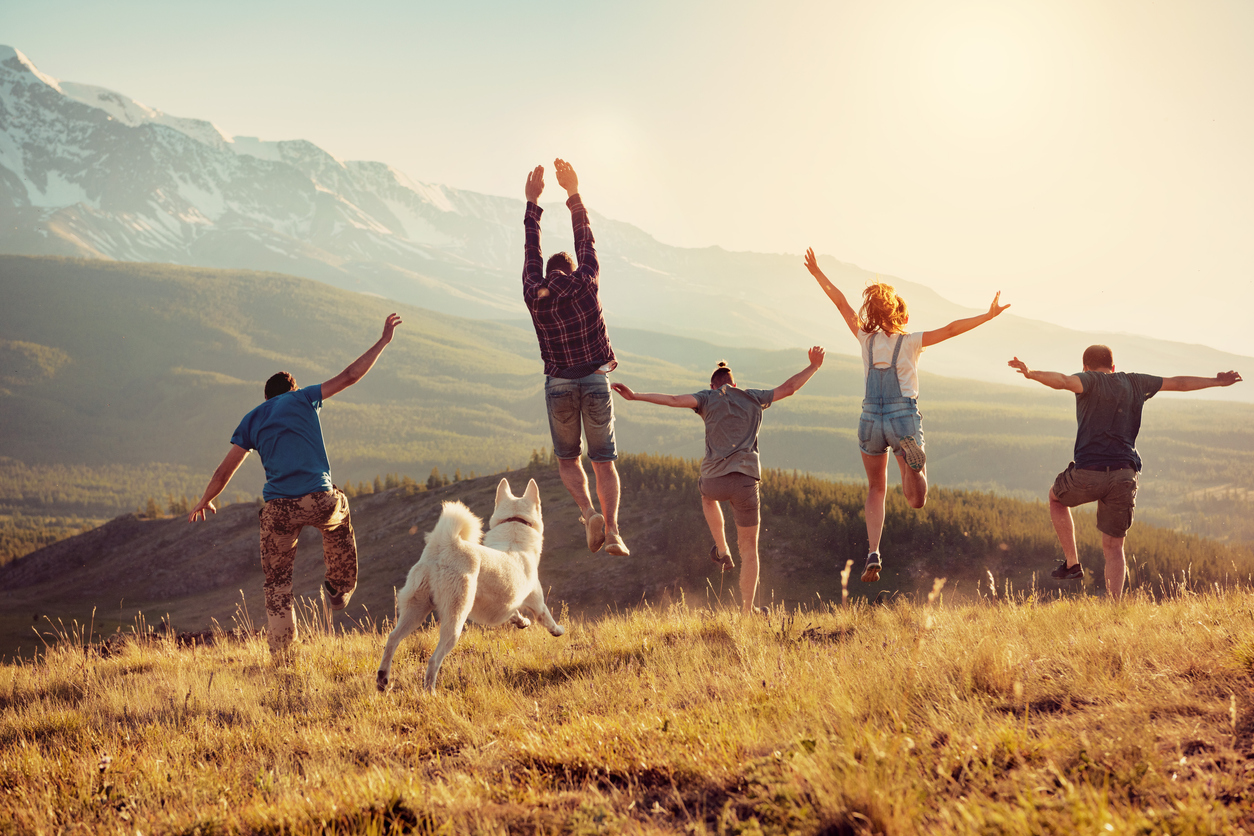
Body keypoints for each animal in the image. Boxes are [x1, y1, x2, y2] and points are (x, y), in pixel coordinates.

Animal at [373, 476, 566, 691]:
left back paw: (382, 679)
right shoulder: (537, 601)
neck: (514, 531)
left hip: (415, 611)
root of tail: (446, 547)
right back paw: (429, 692)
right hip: (455, 618)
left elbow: (514, 613)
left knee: (392, 638)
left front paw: (522, 622)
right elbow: (547, 618)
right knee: (434, 660)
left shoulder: (505, 603)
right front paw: (558, 631)